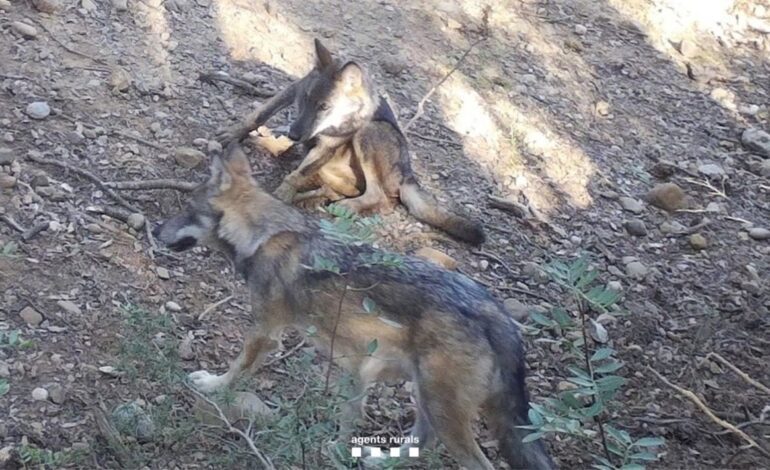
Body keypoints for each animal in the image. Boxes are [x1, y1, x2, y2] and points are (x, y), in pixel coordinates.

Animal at [154, 144, 553, 469]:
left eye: (187, 210)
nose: (156, 231)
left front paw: (213, 386)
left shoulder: (265, 332)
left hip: (442, 411)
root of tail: (496, 312)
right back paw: (378, 461)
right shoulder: (350, 369)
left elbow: (236, 369)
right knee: (419, 442)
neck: (264, 235)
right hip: (424, 398)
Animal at [216, 39, 484, 245]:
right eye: (305, 99)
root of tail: (408, 174)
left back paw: (342, 206)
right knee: (344, 190)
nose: (294, 135)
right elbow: (259, 114)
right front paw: (232, 134)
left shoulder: (328, 144)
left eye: (324, 107)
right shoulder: (292, 90)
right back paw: (312, 197)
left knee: (380, 198)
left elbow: (295, 175)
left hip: (368, 133)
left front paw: (282, 196)